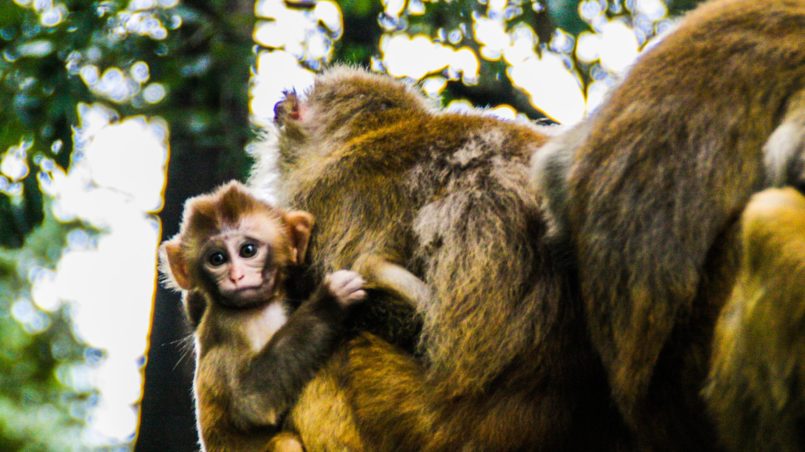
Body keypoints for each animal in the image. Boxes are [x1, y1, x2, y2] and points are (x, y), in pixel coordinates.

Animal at [158, 181, 364, 452]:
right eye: (217, 259)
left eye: (248, 250)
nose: (236, 276)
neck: (260, 308)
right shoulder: (230, 327)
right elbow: (250, 403)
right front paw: (330, 299)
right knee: (285, 441)